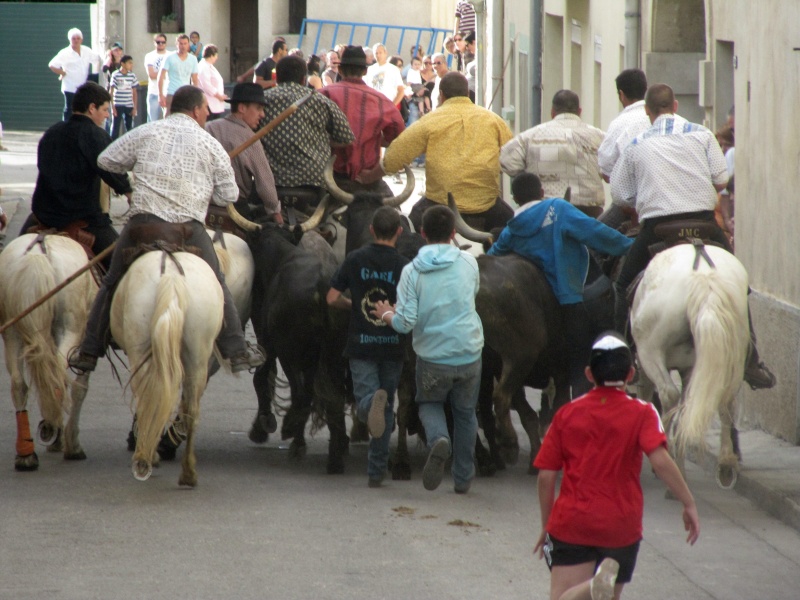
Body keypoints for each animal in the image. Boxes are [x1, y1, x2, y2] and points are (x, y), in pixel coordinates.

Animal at [0, 233, 97, 468]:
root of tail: (37, 253)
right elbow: (80, 387)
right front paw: (70, 443)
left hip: (11, 332)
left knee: (20, 384)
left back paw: (26, 454)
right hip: (71, 329)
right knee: (57, 377)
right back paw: (53, 432)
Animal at [109, 250, 222, 488]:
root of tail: (172, 277)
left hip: (139, 350)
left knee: (147, 401)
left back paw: (148, 459)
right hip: (197, 355)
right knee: (190, 410)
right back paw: (187, 473)